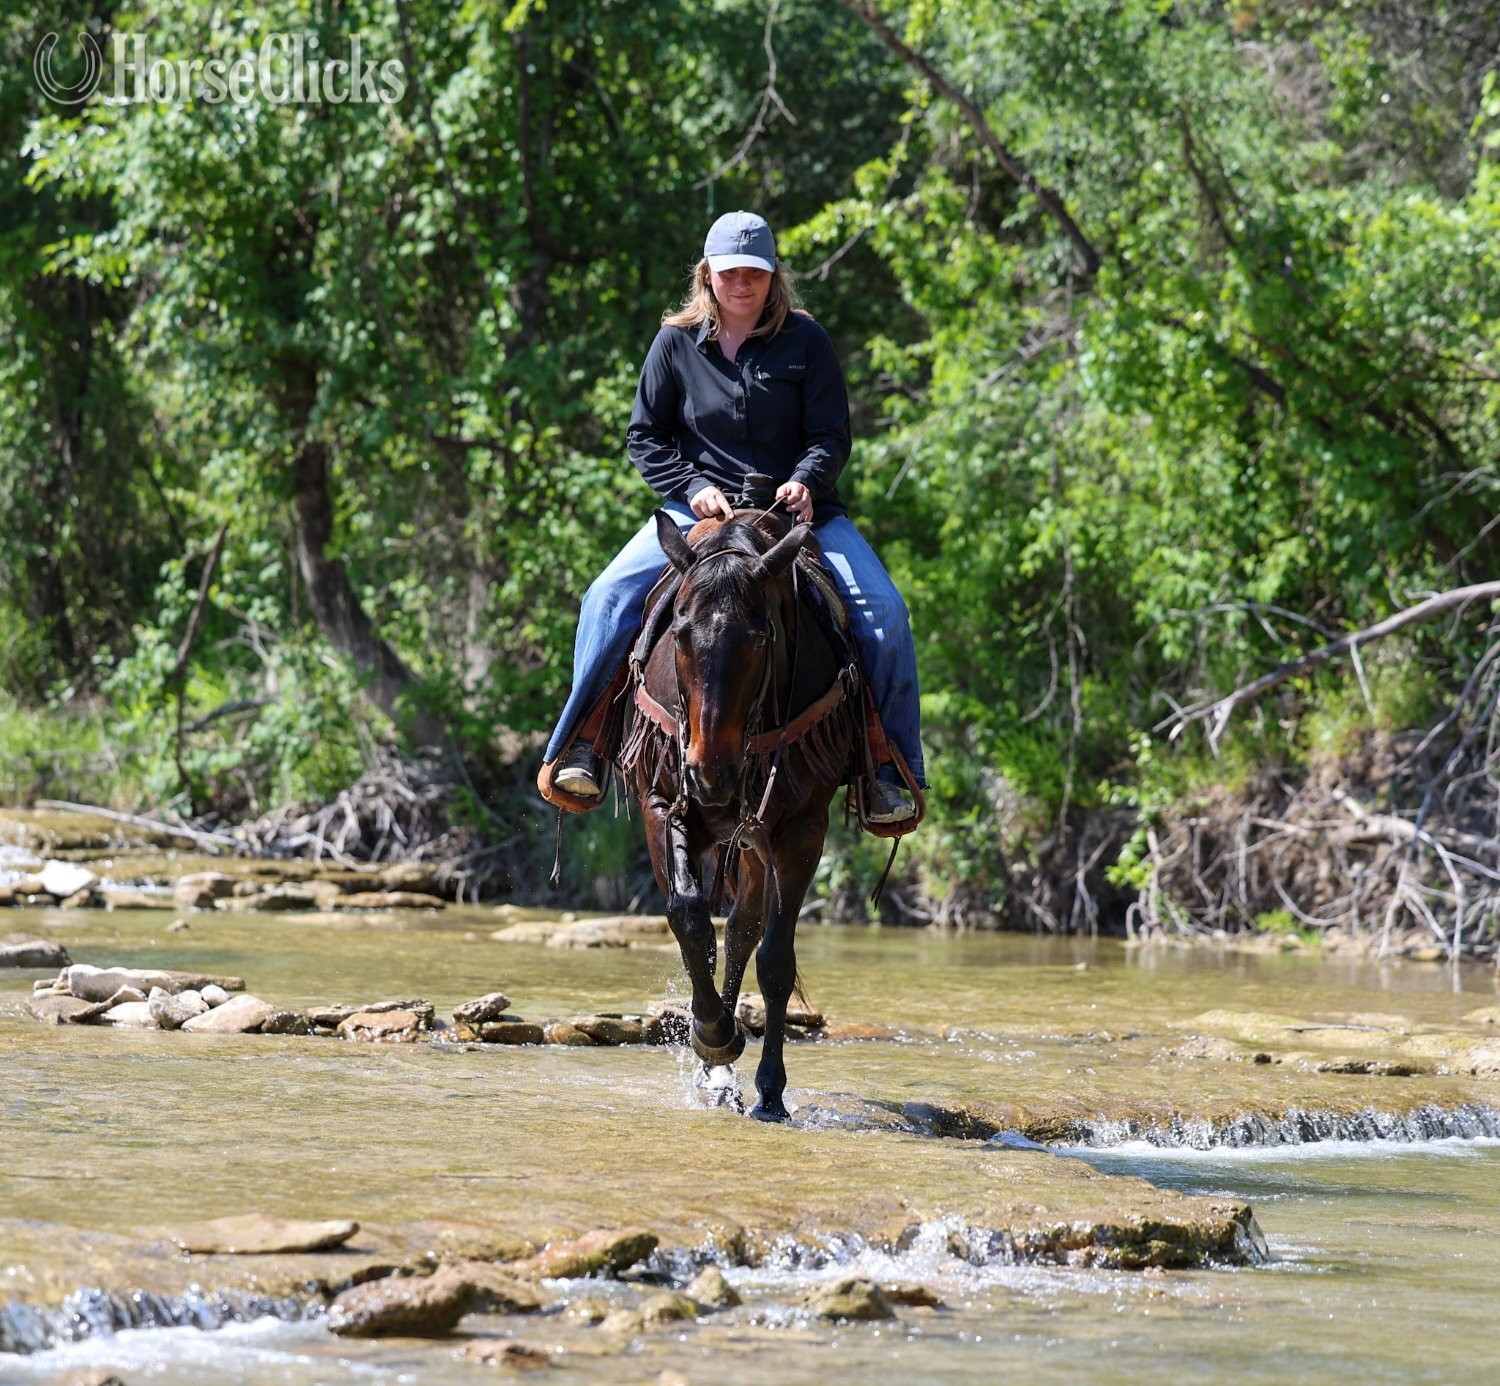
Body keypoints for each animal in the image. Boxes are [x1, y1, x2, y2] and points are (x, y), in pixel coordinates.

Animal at [619, 508, 860, 1121]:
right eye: (679, 633)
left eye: (758, 639)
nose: (711, 775)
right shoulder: (663, 804)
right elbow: (688, 919)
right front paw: (713, 1037)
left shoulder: (801, 830)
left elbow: (775, 961)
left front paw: (770, 1090)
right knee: (723, 934)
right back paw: (718, 1072)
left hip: (755, 844)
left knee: (745, 936)